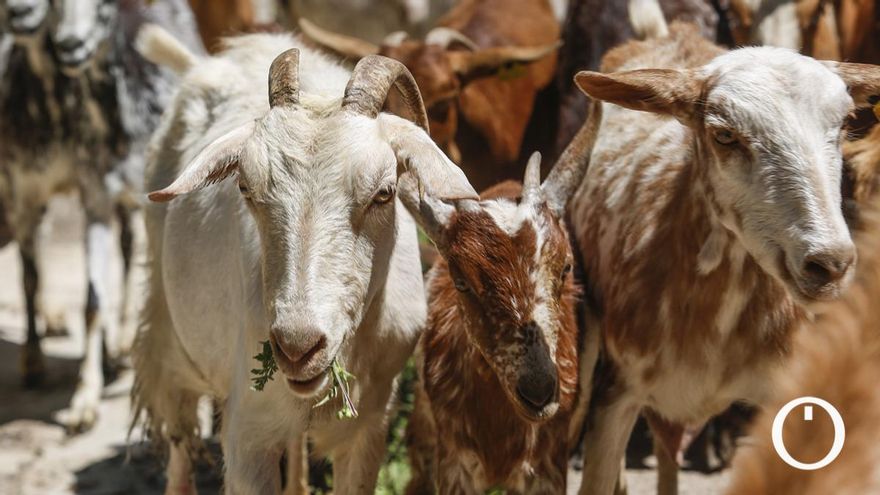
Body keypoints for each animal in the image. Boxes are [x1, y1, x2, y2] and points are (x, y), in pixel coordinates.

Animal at [131, 25, 477, 493]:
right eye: (245, 188)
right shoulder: (248, 431)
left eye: (384, 193)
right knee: (179, 429)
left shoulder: (369, 427)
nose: (297, 346)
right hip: (168, 323)